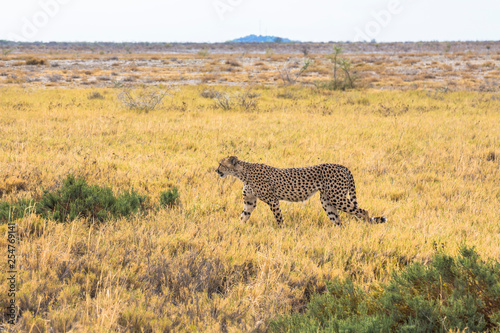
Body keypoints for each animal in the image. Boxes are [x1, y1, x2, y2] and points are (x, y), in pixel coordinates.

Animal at [216, 156, 386, 226]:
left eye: (221, 164)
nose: (216, 170)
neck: (243, 173)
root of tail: (343, 166)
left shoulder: (273, 200)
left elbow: (279, 218)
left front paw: (282, 231)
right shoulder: (250, 201)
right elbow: (243, 217)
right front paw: (237, 230)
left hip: (337, 198)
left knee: (363, 211)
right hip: (327, 200)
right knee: (338, 220)